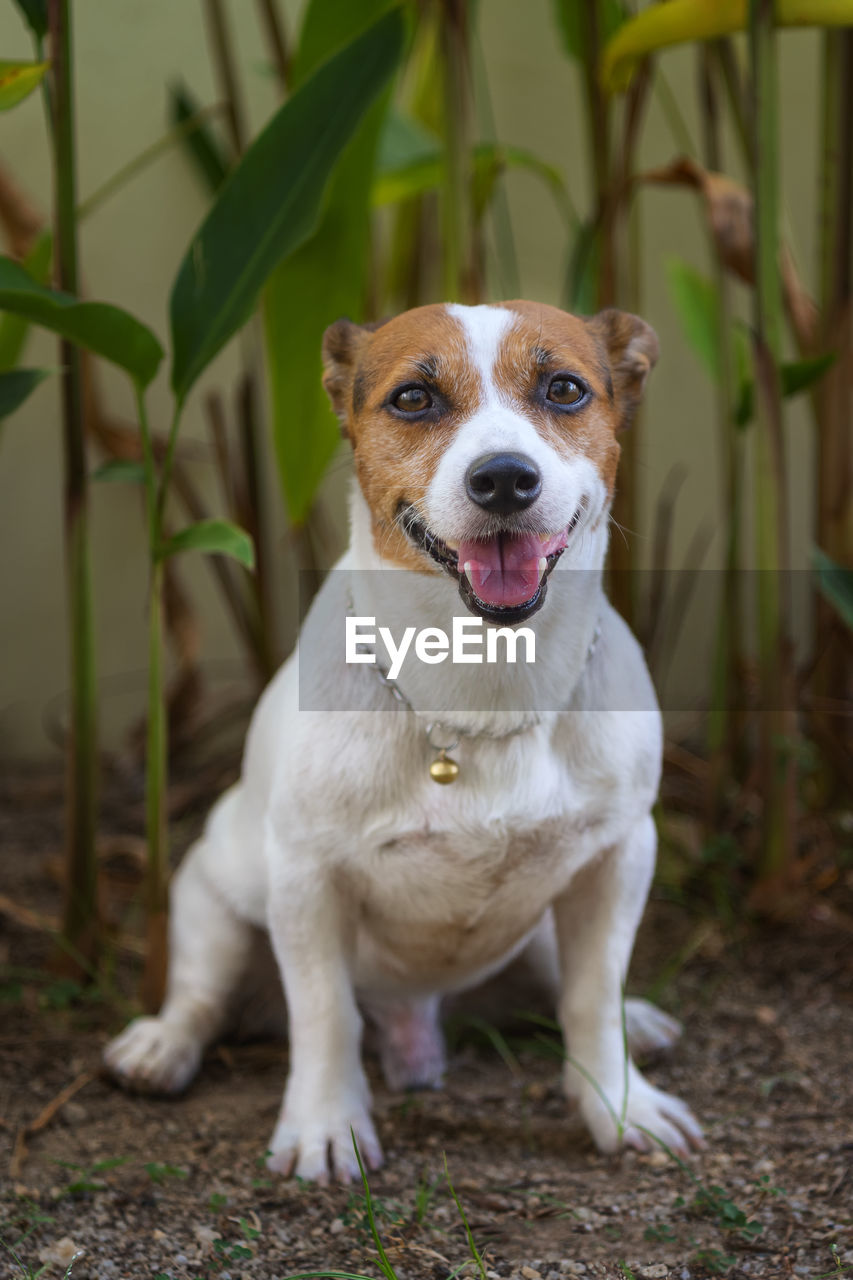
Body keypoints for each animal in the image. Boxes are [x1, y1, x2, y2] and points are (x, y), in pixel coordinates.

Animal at [106, 299, 701, 1177]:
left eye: (563, 388)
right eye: (413, 398)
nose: (503, 478)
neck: (483, 685)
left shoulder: (617, 857)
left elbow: (590, 999)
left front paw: (618, 1105)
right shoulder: (307, 881)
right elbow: (324, 1014)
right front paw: (325, 1124)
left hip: (541, 925)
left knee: (561, 984)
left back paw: (639, 1020)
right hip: (213, 900)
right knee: (199, 998)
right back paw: (160, 1047)